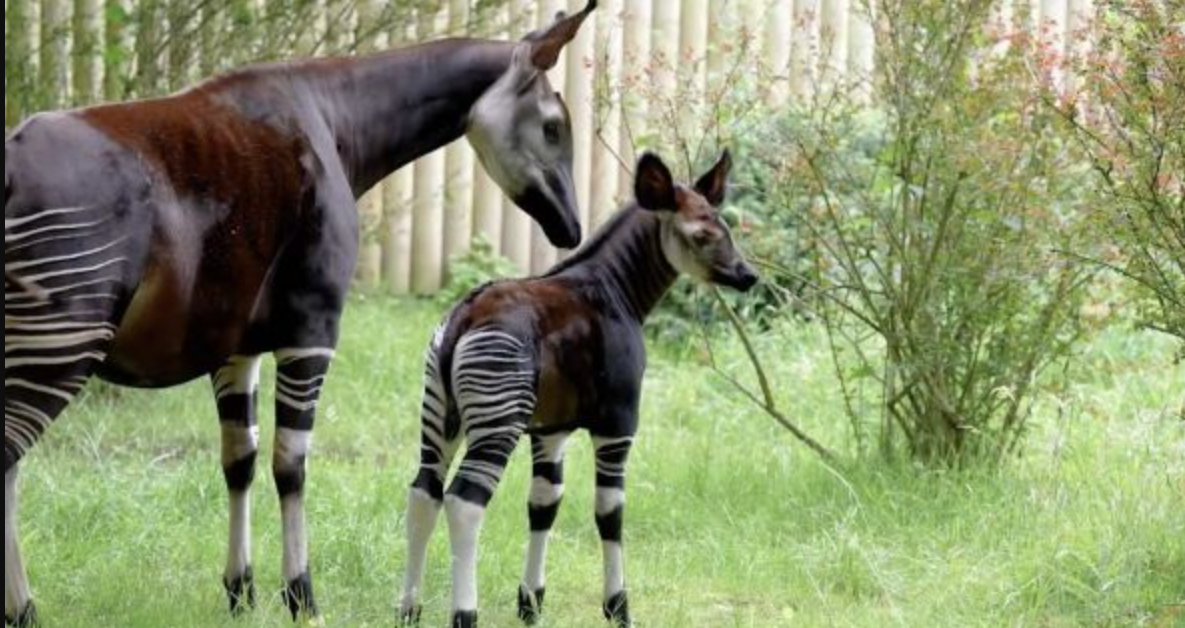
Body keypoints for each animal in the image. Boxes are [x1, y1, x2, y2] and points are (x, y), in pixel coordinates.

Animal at [400, 151, 758, 625]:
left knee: (425, 492)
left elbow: (543, 503)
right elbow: (610, 512)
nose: (748, 276)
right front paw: (618, 606)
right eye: (702, 235)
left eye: (727, 230)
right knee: (465, 503)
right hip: (497, 421)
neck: (617, 289)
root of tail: (465, 317)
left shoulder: (551, 430)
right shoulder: (619, 423)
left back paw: (409, 609)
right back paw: (465, 614)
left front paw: (530, 603)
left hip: (438, 413)